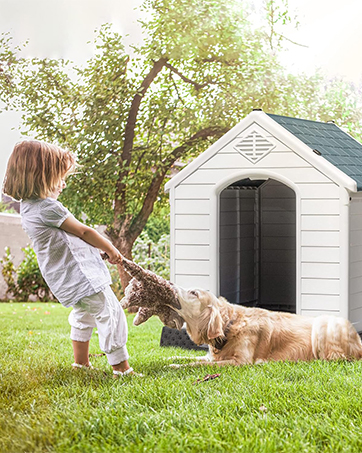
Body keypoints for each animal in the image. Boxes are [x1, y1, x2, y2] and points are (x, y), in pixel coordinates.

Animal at [170, 288, 362, 366]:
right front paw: (170, 360)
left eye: (194, 293)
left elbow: (196, 364)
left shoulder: (241, 362)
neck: (229, 327)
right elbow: (186, 357)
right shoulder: (212, 357)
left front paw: (176, 367)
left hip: (323, 324)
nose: (171, 285)